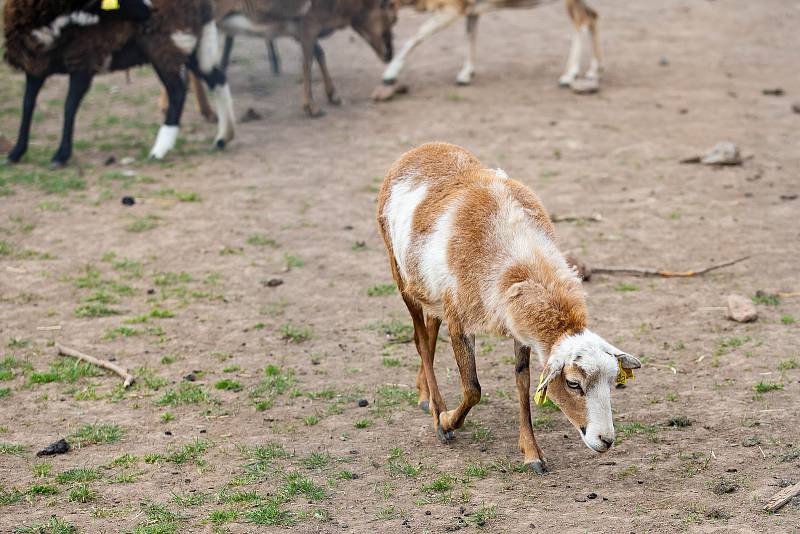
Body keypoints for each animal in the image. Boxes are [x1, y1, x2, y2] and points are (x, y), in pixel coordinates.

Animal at [3, 0, 234, 166]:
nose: (149, 7)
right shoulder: (36, 65)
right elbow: (27, 105)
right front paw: (15, 153)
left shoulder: (84, 60)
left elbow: (69, 107)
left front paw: (60, 156)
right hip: (191, 43)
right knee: (217, 79)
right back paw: (222, 137)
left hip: (167, 43)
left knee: (178, 91)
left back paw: (158, 150)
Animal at [376, 142, 644, 474]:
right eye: (573, 384)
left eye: (612, 382)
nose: (606, 441)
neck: (520, 259)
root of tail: (423, 147)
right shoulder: (459, 321)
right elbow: (473, 388)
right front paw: (448, 421)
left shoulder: (519, 328)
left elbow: (523, 383)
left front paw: (532, 453)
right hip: (401, 276)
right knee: (421, 340)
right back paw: (437, 410)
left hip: (430, 289)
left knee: (429, 329)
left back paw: (424, 393)